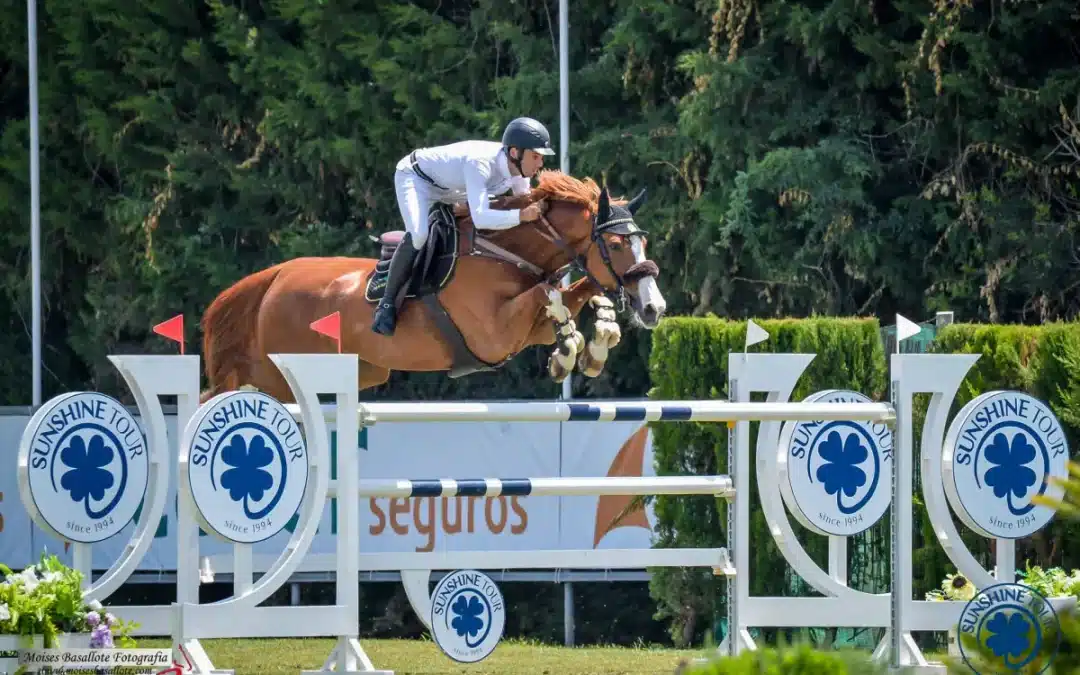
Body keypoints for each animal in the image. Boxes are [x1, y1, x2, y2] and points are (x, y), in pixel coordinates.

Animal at [198, 170, 666, 403]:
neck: (503, 251)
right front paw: (568, 351)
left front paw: (597, 341)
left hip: (360, 370)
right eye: (616, 244)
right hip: (277, 371)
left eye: (642, 241)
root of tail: (276, 276)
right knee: (220, 393)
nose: (654, 309)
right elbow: (548, 295)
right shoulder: (494, 333)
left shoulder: (524, 332)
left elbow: (579, 291)